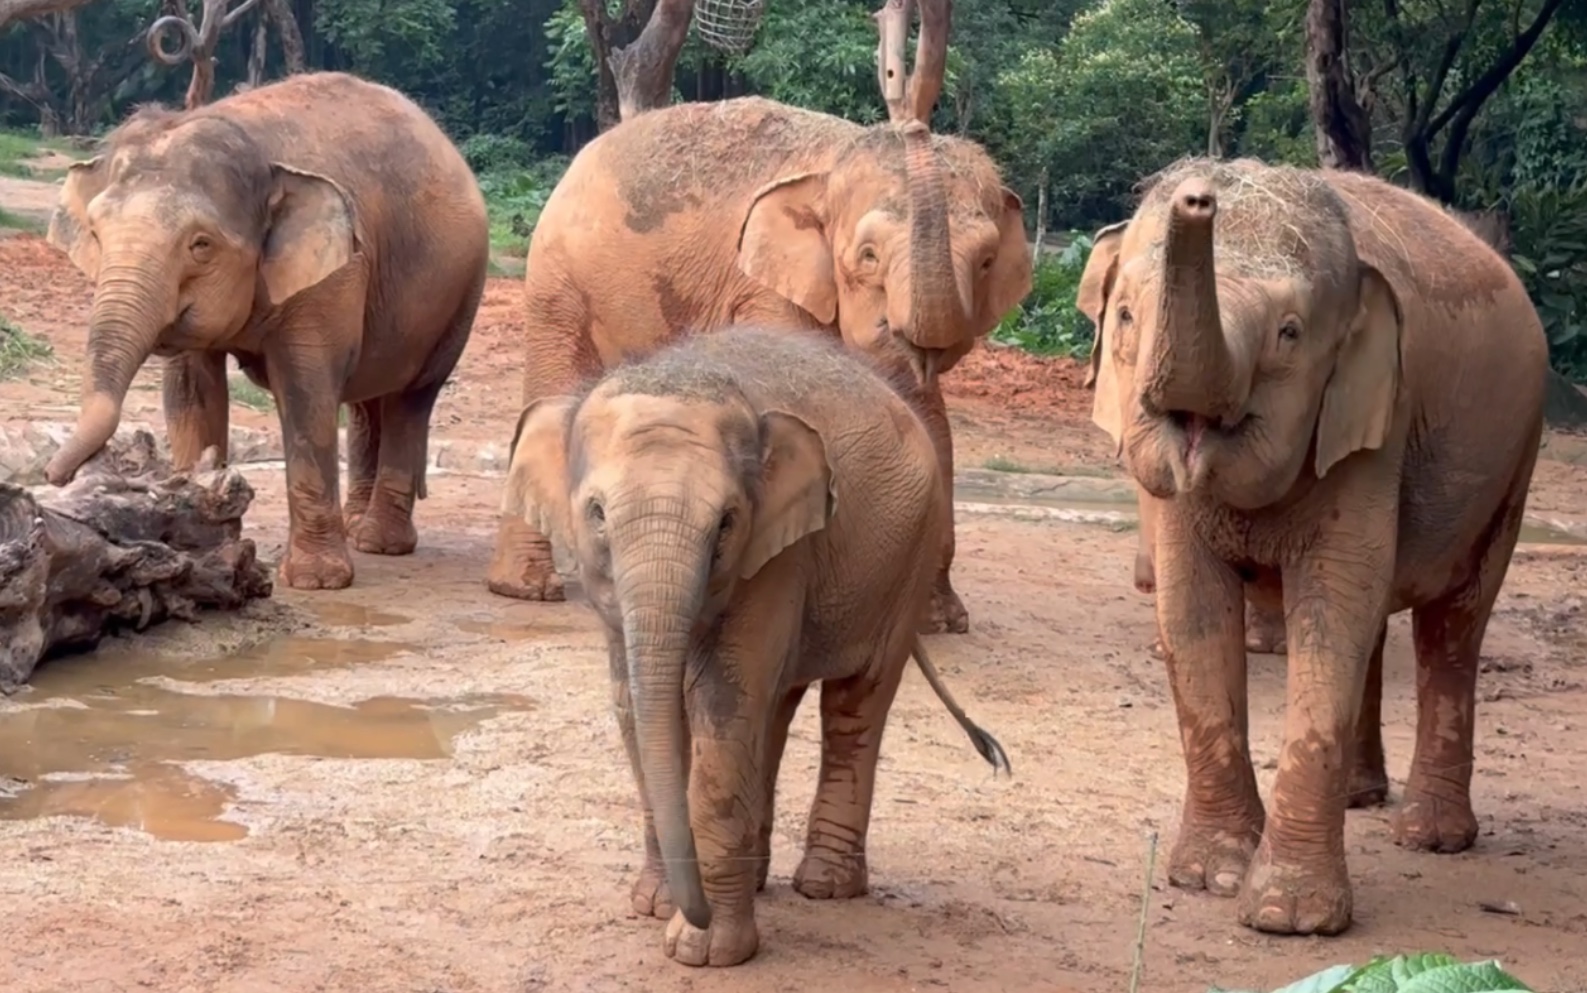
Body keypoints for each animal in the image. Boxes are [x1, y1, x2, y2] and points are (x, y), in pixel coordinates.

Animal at [45, 73, 488, 590]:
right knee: (366, 400)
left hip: (459, 299)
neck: (255, 147)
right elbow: (192, 392)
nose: (54, 477)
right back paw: (358, 526)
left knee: (410, 399)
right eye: (96, 234)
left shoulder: (333, 274)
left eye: (201, 245)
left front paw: (316, 581)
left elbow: (304, 391)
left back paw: (380, 543)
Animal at [482, 94, 1028, 634]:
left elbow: (931, 422)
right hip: (558, 283)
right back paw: (529, 588)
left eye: (985, 262)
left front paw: (940, 621)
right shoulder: (765, 289)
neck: (836, 163)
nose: (915, 120)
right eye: (868, 256)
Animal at [501, 326, 1009, 964]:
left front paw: (705, 948)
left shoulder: (777, 554)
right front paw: (655, 907)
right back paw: (763, 881)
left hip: (911, 558)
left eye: (726, 522)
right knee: (775, 711)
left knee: (852, 705)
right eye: (595, 514)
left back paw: (825, 886)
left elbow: (722, 705)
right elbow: (637, 709)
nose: (687, 906)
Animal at [1079, 156, 1548, 932]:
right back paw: (1361, 799)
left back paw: (1431, 836)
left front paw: (1287, 917)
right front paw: (1210, 877)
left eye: (1289, 334)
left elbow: (1331, 605)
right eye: (1124, 317)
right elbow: (1193, 610)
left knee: (1453, 624)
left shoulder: (1376, 418)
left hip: (1517, 460)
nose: (1197, 196)